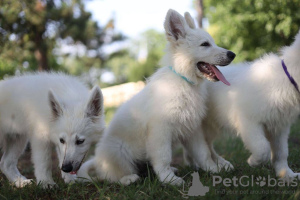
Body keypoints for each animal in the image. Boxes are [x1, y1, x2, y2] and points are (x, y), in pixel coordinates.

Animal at [78, 9, 236, 186]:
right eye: (205, 44)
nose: (232, 54)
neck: (183, 80)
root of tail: (98, 160)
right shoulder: (160, 131)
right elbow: (163, 156)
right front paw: (169, 179)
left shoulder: (192, 129)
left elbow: (203, 152)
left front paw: (213, 169)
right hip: (119, 153)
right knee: (109, 176)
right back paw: (128, 178)